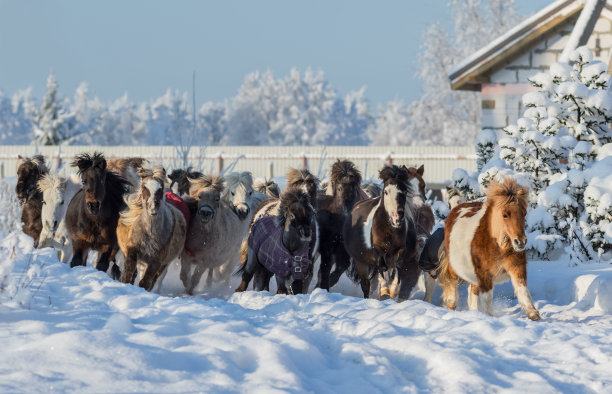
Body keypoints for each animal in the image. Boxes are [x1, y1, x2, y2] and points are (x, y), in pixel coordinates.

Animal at [342, 165, 414, 298]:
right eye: (386, 191)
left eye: (405, 191)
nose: (397, 216)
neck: (390, 230)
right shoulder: (378, 251)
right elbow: (382, 268)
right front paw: (385, 289)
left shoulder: (400, 250)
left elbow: (398, 266)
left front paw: (393, 289)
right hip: (361, 262)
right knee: (366, 284)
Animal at [436, 178, 540, 320]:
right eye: (505, 215)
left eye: (524, 213)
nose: (520, 242)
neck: (498, 246)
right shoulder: (484, 274)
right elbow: (487, 297)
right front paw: (490, 316)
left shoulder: (517, 267)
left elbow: (522, 290)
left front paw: (533, 313)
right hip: (454, 270)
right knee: (453, 293)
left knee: (473, 295)